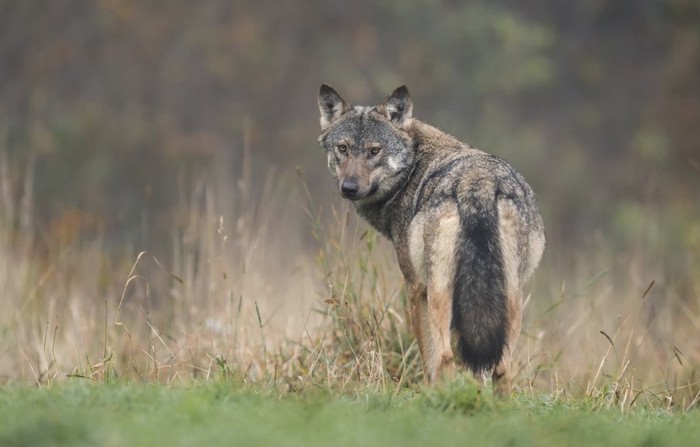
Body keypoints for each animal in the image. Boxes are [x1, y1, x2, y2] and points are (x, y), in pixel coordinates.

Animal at [318, 84, 548, 396]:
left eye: (374, 151)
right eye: (343, 148)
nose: (349, 188)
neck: (413, 169)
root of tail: (478, 182)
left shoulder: (416, 288)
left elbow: (428, 357)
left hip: (441, 291)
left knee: (447, 356)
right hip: (510, 295)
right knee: (501, 367)